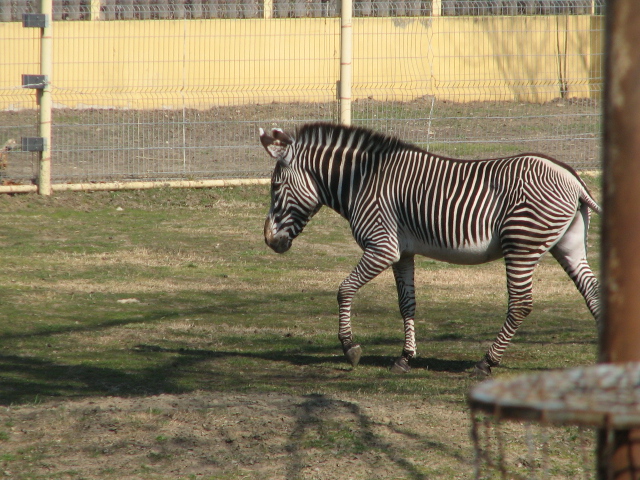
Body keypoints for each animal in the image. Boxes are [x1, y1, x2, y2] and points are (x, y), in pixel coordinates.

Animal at [259, 122, 600, 375]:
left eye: (275, 186)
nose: (269, 241)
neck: (362, 180)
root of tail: (573, 179)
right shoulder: (402, 252)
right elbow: (407, 304)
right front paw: (405, 358)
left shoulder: (382, 246)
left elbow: (344, 290)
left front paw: (350, 348)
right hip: (568, 246)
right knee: (593, 294)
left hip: (521, 244)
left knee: (520, 304)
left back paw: (485, 363)